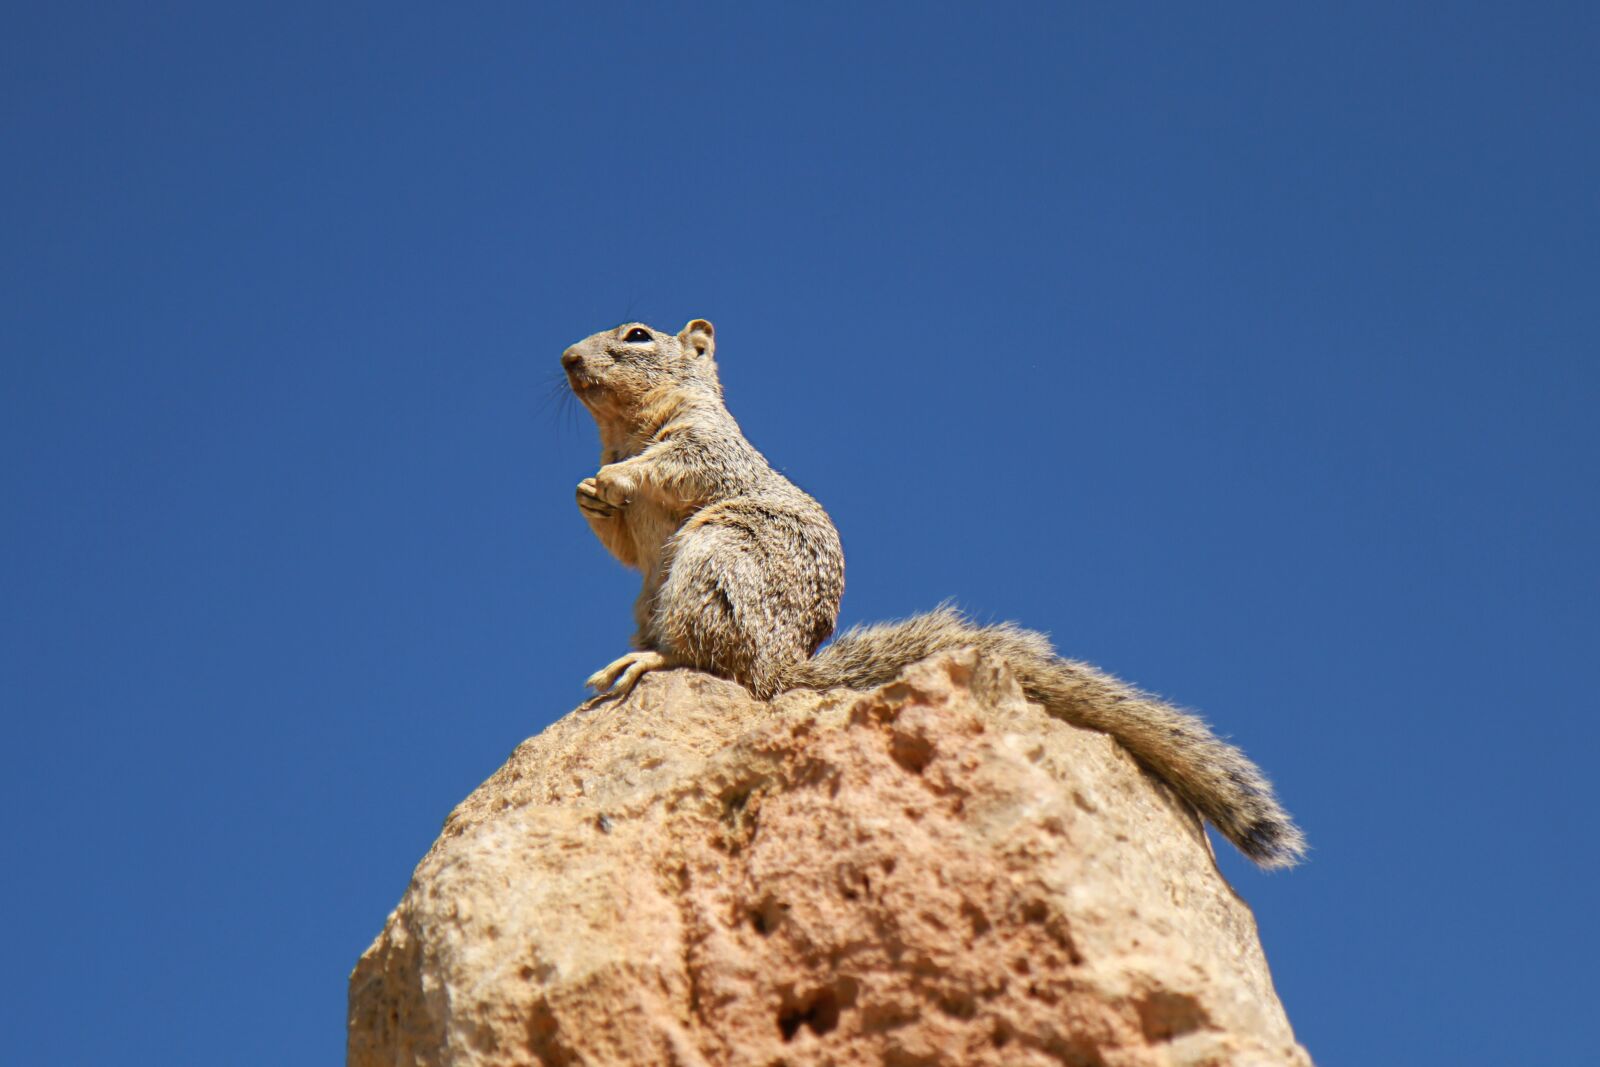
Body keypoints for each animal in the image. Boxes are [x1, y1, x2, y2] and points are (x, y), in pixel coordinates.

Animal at [561, 318, 1306, 869]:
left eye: (637, 334)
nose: (567, 356)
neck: (624, 429)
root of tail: (783, 668)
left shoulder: (710, 449)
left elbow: (675, 464)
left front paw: (617, 477)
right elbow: (621, 540)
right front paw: (587, 492)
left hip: (717, 561)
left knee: (710, 658)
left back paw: (649, 660)